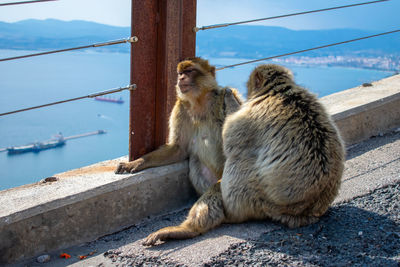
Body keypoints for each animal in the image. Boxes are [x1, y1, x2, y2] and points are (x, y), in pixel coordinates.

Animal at [114, 57, 242, 197]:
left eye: (189, 71)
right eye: (180, 73)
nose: (181, 78)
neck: (199, 100)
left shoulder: (221, 95)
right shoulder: (180, 109)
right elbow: (178, 148)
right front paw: (135, 162)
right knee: (195, 162)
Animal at [142, 63, 346, 247]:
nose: (181, 78)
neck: (280, 91)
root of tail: (304, 212)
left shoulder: (248, 118)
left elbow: (229, 141)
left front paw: (229, 97)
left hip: (254, 201)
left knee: (238, 163)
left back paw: (189, 229)